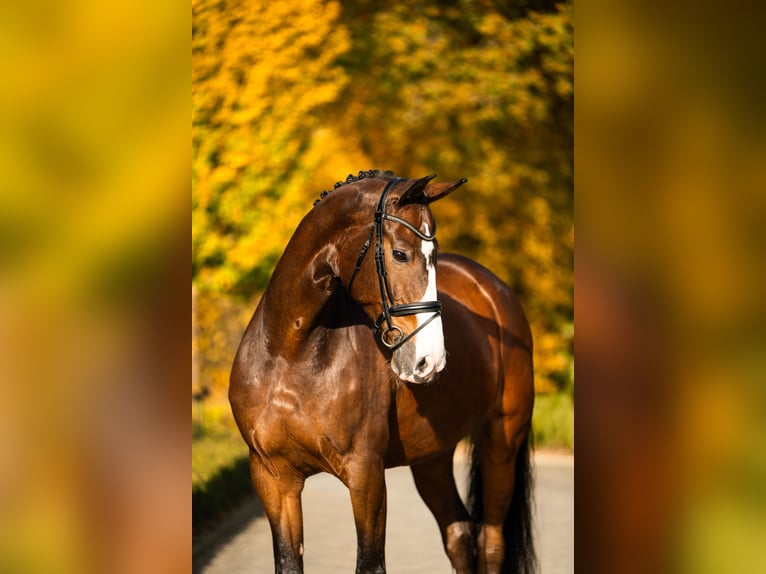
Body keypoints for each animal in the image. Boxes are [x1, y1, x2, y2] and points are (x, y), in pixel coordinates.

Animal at [229, 170, 536, 574]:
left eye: (434, 255)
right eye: (401, 253)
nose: (430, 360)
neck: (290, 356)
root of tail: (496, 291)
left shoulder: (366, 476)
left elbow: (370, 562)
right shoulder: (273, 479)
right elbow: (288, 561)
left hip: (501, 444)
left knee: (491, 543)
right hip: (433, 457)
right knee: (459, 534)